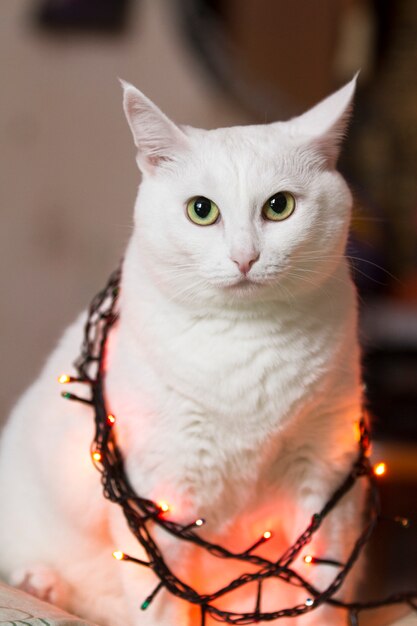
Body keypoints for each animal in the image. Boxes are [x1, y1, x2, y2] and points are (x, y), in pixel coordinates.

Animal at [0, 75, 364, 620]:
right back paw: (40, 583)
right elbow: (166, 604)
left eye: (279, 206)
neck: (247, 343)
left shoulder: (325, 478)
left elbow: (320, 597)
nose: (244, 257)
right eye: (201, 210)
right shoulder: (163, 495)